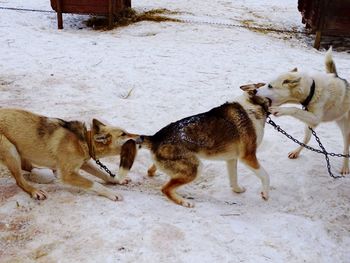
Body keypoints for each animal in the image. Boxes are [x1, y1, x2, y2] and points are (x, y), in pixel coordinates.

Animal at [0, 109, 137, 202]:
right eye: (123, 134)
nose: (141, 136)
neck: (84, 141)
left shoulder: (85, 163)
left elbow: (103, 174)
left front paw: (117, 180)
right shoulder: (68, 175)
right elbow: (95, 183)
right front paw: (112, 193)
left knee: (26, 166)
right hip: (10, 150)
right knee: (19, 180)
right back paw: (34, 191)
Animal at [131, 85, 270, 209]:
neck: (253, 106)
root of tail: (155, 137)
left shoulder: (231, 159)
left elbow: (233, 179)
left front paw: (237, 190)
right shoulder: (248, 157)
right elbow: (265, 175)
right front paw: (265, 194)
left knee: (152, 171)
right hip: (195, 168)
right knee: (165, 189)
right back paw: (184, 202)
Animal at [256, 47, 350, 175]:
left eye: (270, 86)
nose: (255, 91)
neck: (312, 90)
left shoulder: (316, 118)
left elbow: (294, 109)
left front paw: (279, 110)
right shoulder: (312, 119)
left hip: (346, 130)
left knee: (346, 149)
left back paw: (345, 167)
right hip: (310, 126)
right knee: (306, 140)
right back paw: (296, 152)